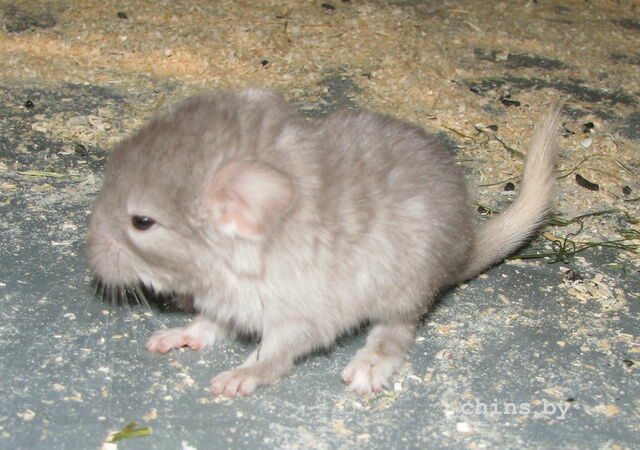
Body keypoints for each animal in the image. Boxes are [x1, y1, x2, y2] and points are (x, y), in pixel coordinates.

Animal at [86, 88, 561, 396]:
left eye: (141, 222)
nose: (90, 259)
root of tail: (460, 252)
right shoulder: (229, 301)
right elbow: (209, 323)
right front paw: (173, 337)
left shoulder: (300, 319)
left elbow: (272, 355)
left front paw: (235, 381)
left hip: (403, 291)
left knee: (396, 332)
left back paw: (366, 369)